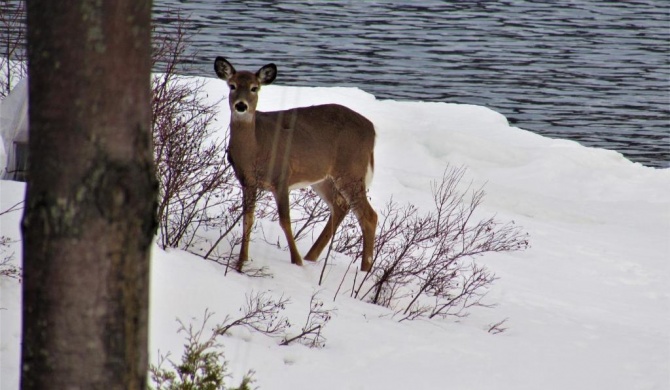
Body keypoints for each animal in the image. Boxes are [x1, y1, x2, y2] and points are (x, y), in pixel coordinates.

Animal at [218, 56, 380, 272]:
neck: (255, 149)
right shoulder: (247, 181)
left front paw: (296, 261)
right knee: (340, 206)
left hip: (351, 170)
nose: (241, 106)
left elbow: (285, 220)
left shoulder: (282, 176)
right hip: (322, 178)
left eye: (254, 88)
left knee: (369, 216)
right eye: (232, 85)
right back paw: (312, 257)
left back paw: (364, 270)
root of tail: (372, 129)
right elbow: (247, 219)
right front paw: (241, 261)